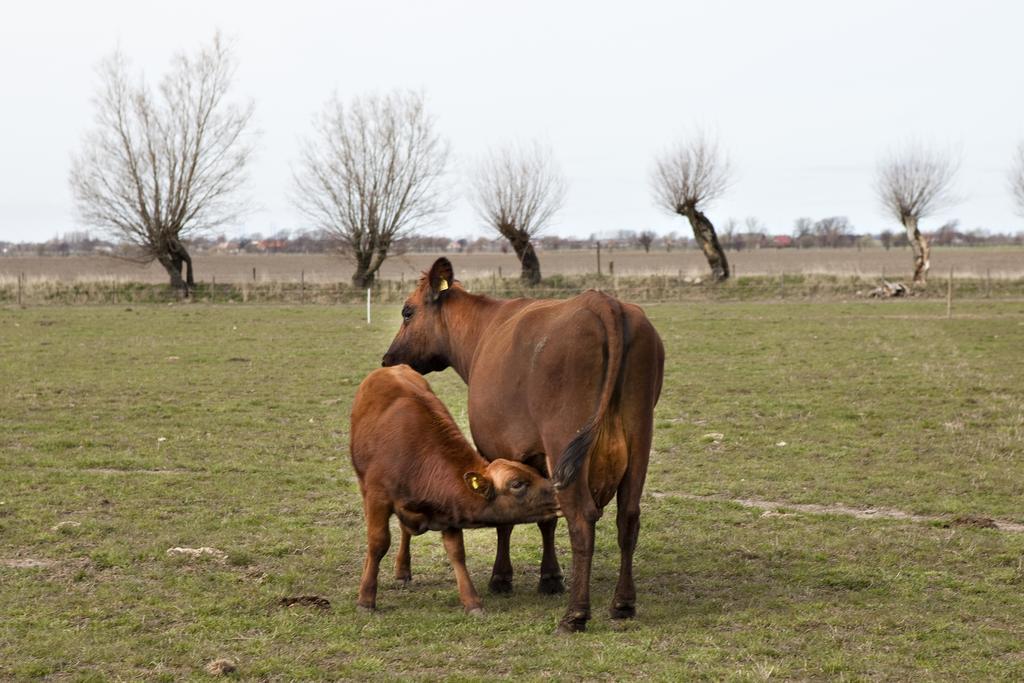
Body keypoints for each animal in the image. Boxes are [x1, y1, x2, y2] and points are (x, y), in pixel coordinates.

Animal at [350, 366, 561, 618]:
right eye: (517, 484)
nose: (558, 492)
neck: (417, 459)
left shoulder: (448, 510)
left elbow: (456, 552)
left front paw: (472, 601)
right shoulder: (377, 498)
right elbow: (378, 542)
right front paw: (366, 597)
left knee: (405, 529)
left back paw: (403, 569)